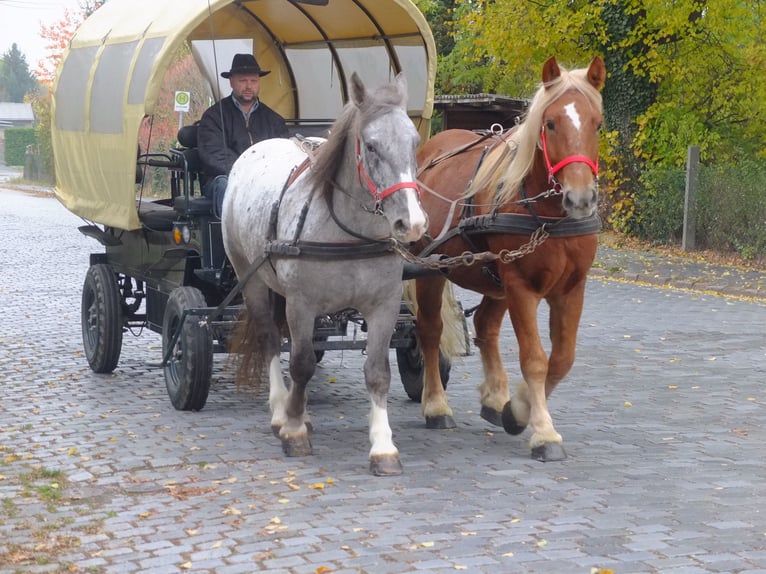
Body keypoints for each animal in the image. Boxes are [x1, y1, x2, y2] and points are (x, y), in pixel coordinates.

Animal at [222, 72, 428, 476]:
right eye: (371, 146)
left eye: (414, 142)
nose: (410, 223)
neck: (350, 233)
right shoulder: (301, 304)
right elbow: (301, 364)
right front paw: (293, 430)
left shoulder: (384, 306)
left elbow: (377, 372)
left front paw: (383, 447)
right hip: (250, 278)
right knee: (271, 339)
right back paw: (281, 410)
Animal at [414, 57, 608, 464]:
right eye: (550, 123)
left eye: (596, 124)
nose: (580, 197)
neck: (548, 216)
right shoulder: (521, 286)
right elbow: (535, 359)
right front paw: (543, 432)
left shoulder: (571, 289)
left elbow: (562, 359)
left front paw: (517, 410)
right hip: (431, 268)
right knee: (430, 330)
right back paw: (436, 405)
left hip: (494, 279)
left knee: (485, 325)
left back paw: (495, 397)